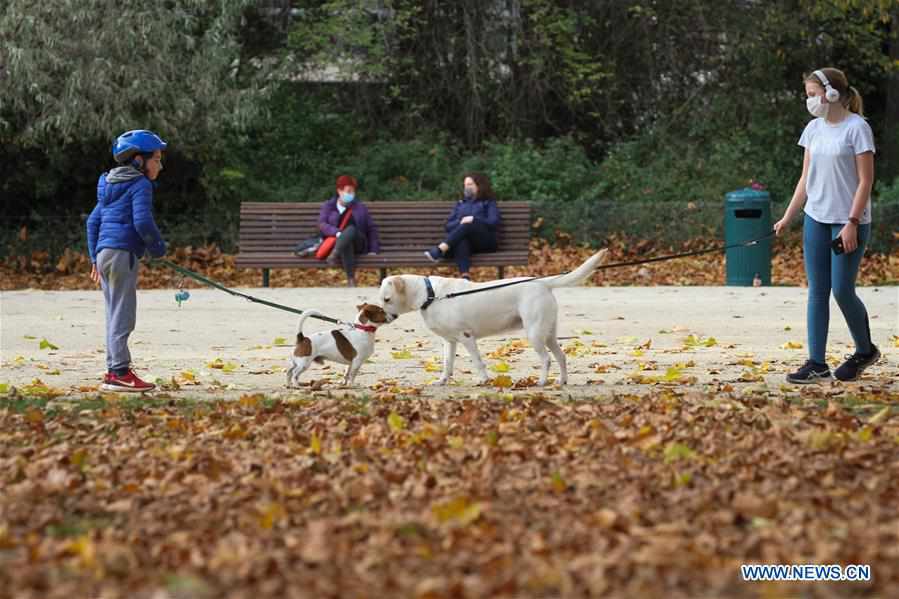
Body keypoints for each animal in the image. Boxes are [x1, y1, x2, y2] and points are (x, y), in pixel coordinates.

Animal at [376, 251, 608, 386]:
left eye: (387, 299)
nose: (383, 318)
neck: (430, 294)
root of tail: (542, 283)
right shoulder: (449, 341)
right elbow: (447, 363)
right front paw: (442, 380)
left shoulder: (466, 337)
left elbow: (478, 362)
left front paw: (484, 380)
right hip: (548, 334)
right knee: (561, 357)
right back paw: (562, 381)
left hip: (534, 334)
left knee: (546, 359)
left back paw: (542, 382)